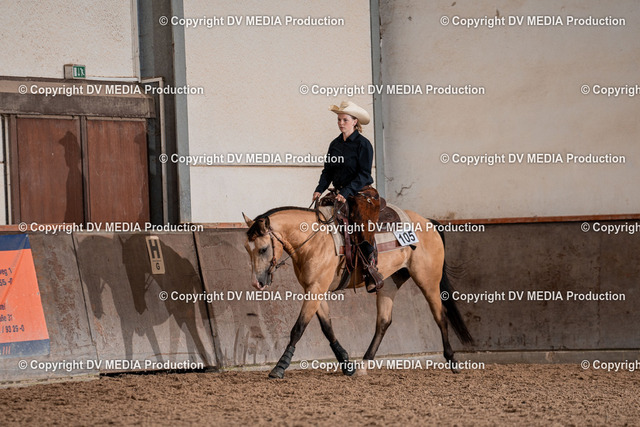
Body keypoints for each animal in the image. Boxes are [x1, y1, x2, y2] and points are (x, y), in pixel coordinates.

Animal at [243, 206, 472, 379]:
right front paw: (346, 363)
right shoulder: (314, 289)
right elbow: (327, 327)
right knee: (383, 322)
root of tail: (428, 222)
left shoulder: (316, 289)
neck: (314, 240)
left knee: (440, 316)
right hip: (389, 284)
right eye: (247, 248)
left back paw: (453, 361)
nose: (256, 283)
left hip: (429, 281)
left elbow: (298, 328)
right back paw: (364, 364)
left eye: (263, 249)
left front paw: (280, 366)